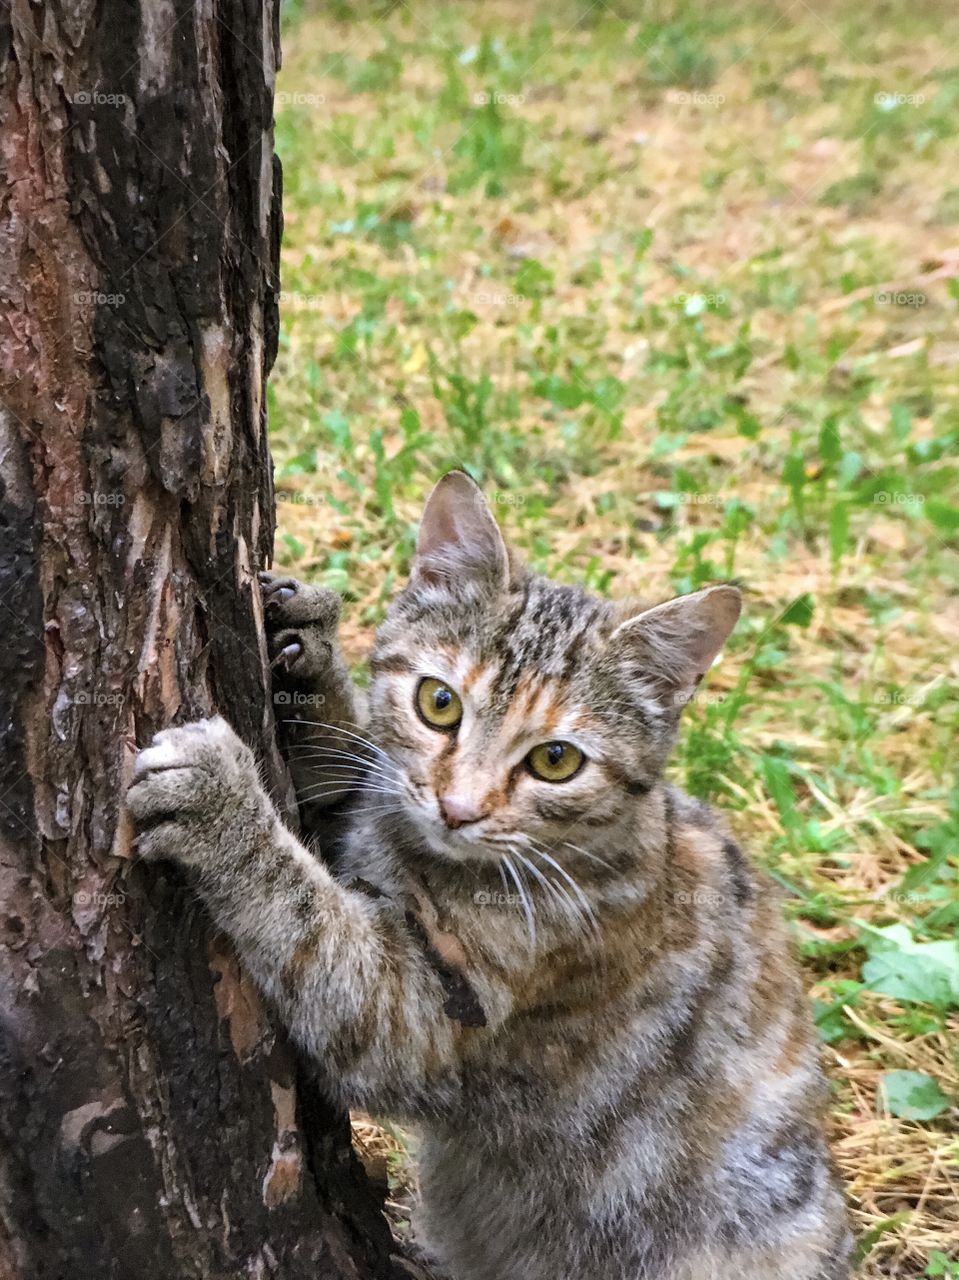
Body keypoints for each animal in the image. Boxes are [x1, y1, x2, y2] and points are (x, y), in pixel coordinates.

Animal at [129, 471, 855, 1280]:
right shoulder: (367, 819)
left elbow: (307, 916)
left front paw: (221, 803)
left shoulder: (414, 1020)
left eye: (556, 760)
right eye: (438, 703)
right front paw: (311, 654)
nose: (460, 808)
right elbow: (348, 779)